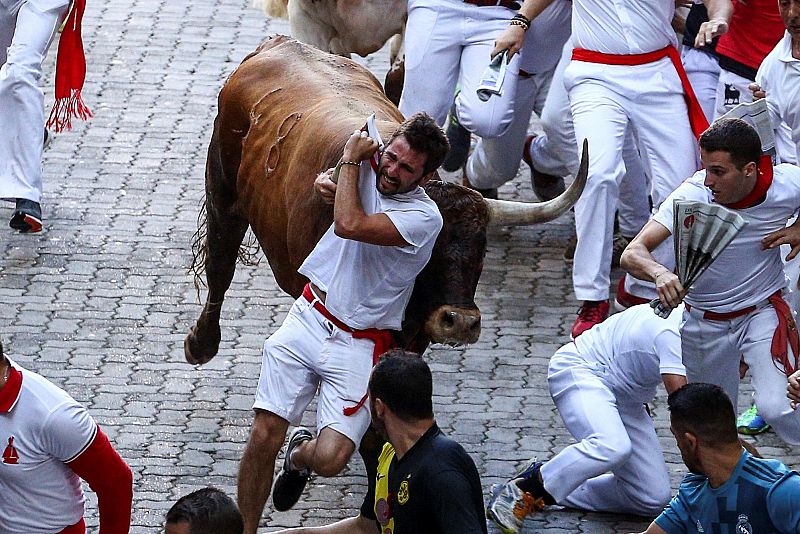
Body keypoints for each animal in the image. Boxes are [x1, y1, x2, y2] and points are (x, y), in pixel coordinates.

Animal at [186, 35, 588, 366]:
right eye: (429, 250)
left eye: (482, 249)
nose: (460, 322)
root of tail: (280, 43)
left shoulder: (414, 330)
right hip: (222, 190)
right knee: (221, 263)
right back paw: (200, 344)